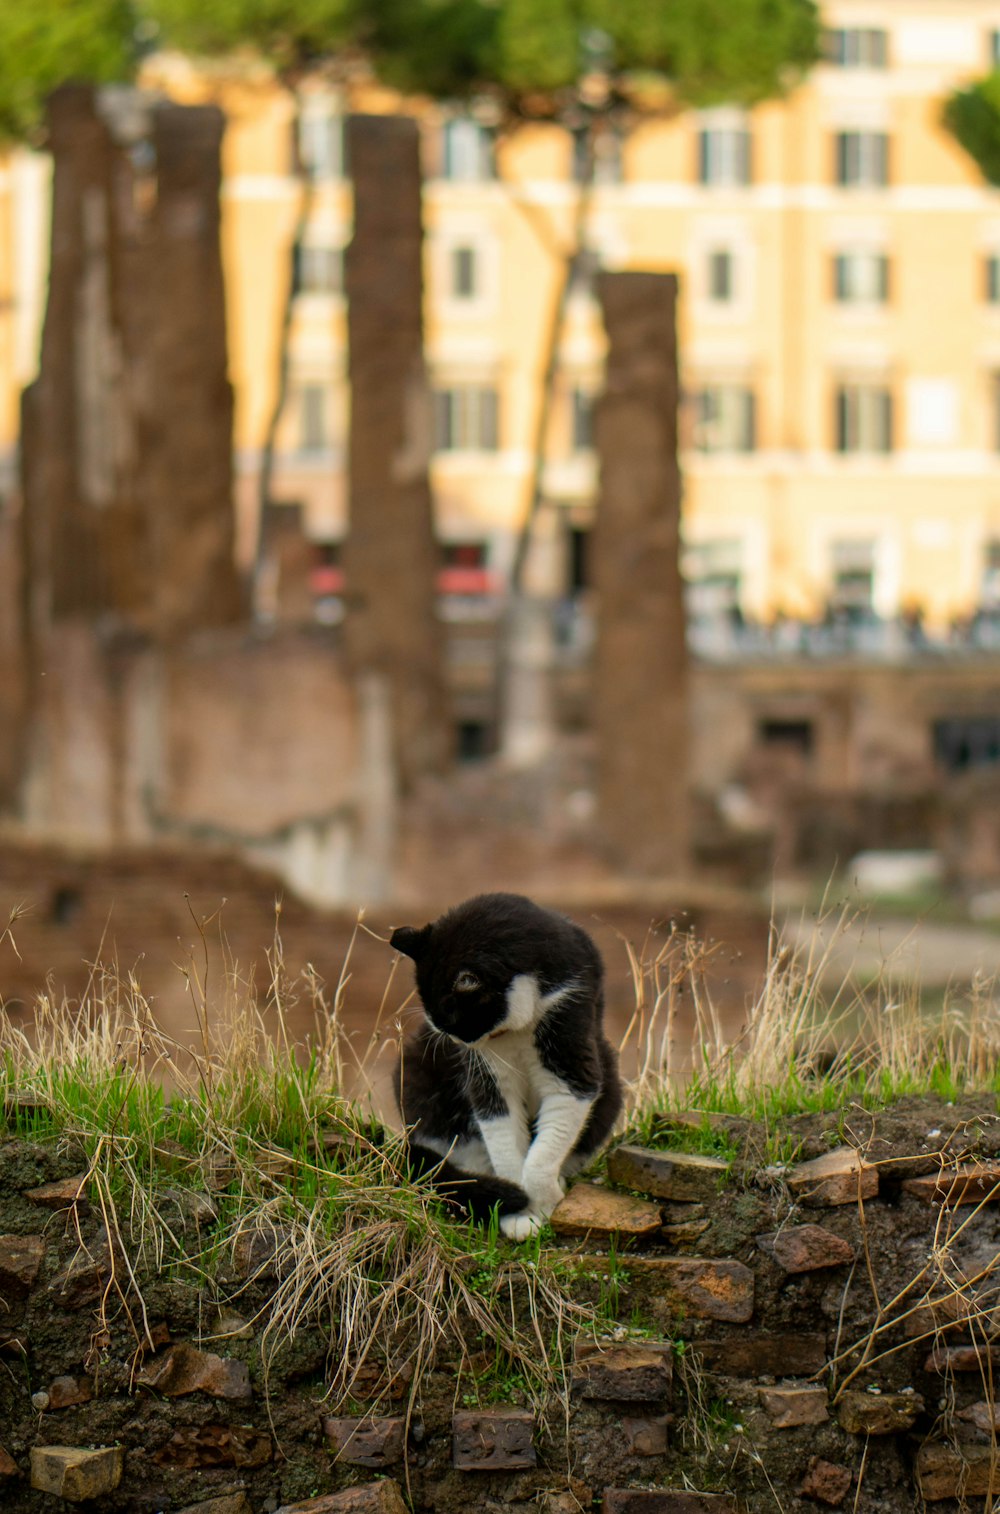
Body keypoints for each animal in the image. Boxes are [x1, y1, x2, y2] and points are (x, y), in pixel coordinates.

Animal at [387, 890, 617, 1235]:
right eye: (438, 1025)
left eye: (453, 1021)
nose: (458, 1045)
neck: (517, 1030)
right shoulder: (488, 1073)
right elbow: (502, 1135)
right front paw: (517, 1210)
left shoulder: (569, 1026)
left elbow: (546, 1147)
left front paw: (543, 1203)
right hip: (416, 1073)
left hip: (611, 1082)